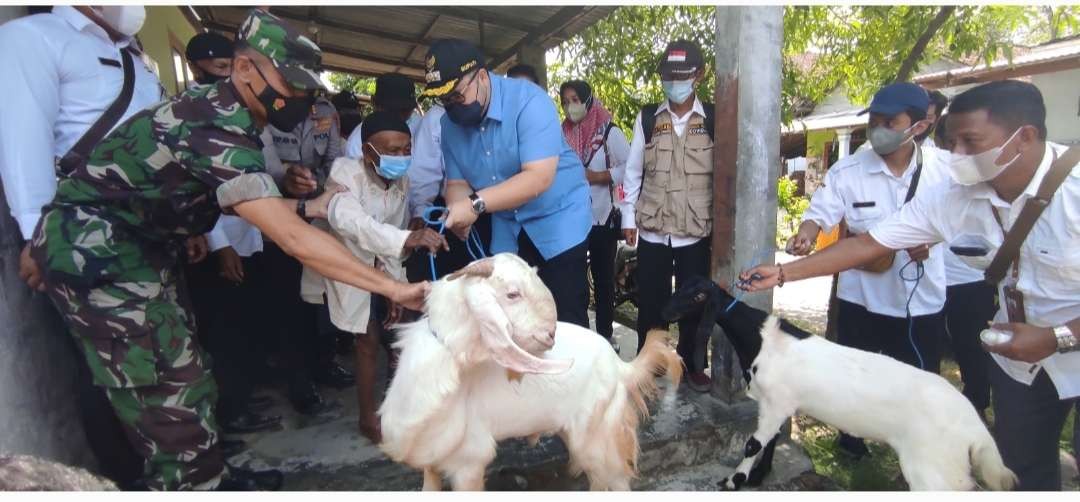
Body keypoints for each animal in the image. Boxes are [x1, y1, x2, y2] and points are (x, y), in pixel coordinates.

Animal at [380, 254, 682, 490]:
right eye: (513, 294)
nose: (550, 336)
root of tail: (621, 366)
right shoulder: (431, 464)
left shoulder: (469, 463)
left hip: (598, 437)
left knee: (616, 481)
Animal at [660, 280, 1015, 490]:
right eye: (679, 286)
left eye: (699, 295)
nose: (666, 311)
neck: (764, 340)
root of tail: (976, 429)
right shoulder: (777, 404)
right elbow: (769, 441)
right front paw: (759, 477)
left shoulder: (777, 402)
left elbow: (753, 444)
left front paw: (734, 481)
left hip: (934, 468)